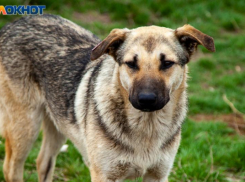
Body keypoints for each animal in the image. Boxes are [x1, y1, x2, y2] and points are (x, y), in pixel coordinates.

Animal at [0, 14, 214, 182]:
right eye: (131, 64)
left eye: (167, 63)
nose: (146, 99)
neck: (146, 128)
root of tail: (13, 24)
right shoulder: (104, 175)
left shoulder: (158, 174)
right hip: (25, 127)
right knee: (11, 168)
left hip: (57, 124)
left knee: (42, 161)